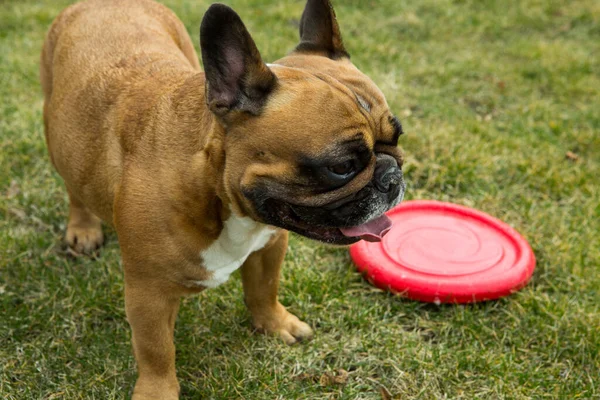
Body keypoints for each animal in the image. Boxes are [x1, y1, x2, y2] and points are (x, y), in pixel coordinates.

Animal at [41, 0, 408, 396]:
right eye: (342, 166)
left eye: (397, 137)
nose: (392, 177)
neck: (221, 197)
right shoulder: (148, 294)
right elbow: (156, 350)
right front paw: (157, 391)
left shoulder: (270, 245)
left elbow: (264, 290)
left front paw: (276, 325)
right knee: (73, 184)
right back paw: (83, 227)